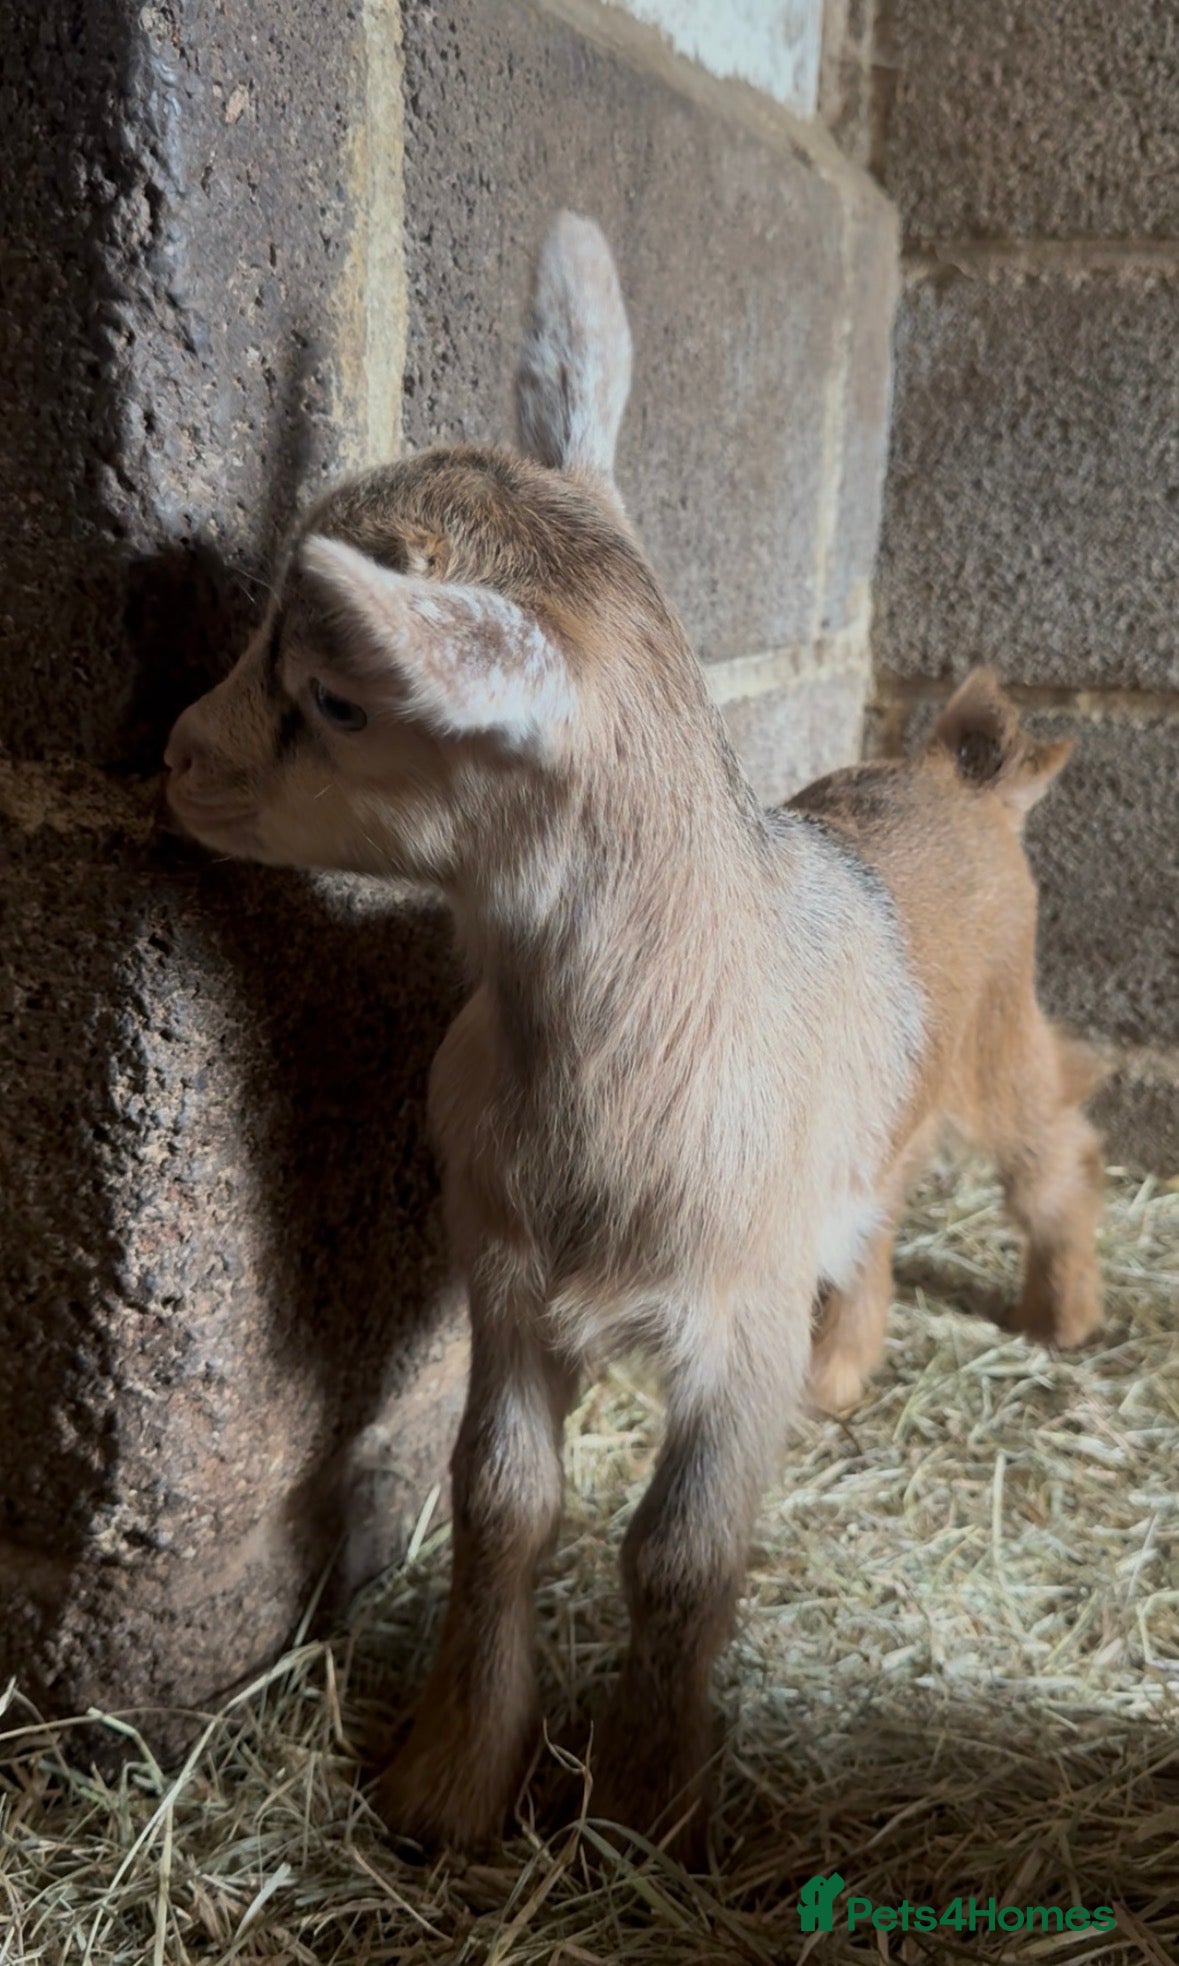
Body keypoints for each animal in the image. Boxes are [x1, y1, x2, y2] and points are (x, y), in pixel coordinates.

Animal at [164, 212, 1103, 1859]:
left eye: (337, 695)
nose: (172, 759)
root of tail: (962, 773)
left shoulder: (729, 1320)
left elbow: (678, 1549)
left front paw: (654, 1794)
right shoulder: (507, 1282)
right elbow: (501, 1501)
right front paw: (452, 1776)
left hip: (999, 1032)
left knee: (1050, 1130)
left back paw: (1065, 1309)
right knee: (878, 1199)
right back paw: (845, 1371)